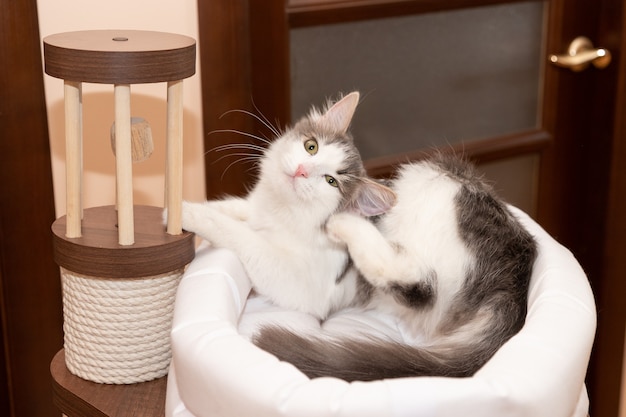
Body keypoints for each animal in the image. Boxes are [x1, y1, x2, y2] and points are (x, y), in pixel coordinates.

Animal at [177, 91, 536, 380]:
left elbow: (240, 235)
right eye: (311, 147)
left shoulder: (307, 285)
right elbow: (235, 211)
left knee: (419, 282)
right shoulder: (256, 211)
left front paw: (185, 213)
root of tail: (518, 272)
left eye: (331, 181)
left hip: (433, 186)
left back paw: (346, 225)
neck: (285, 213)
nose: (301, 172)